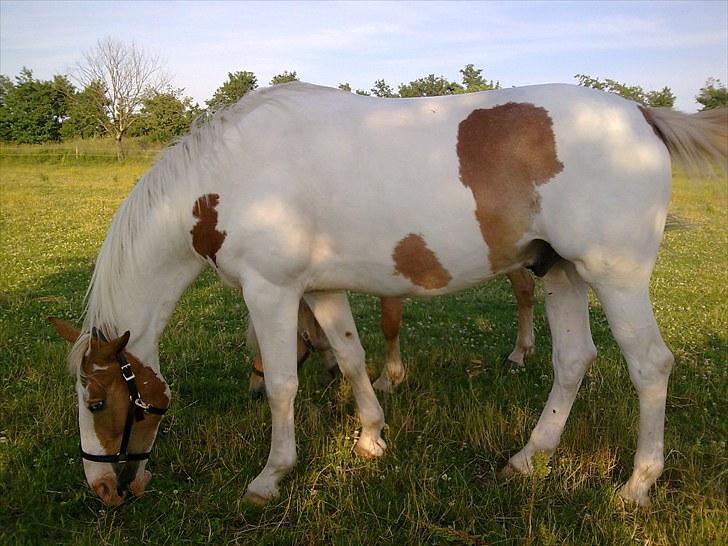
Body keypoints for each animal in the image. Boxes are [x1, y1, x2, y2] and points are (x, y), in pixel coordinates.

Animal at [247, 270, 536, 398]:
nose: (255, 391)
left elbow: (390, 322)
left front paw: (389, 378)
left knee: (524, 288)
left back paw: (518, 354)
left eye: (263, 344)